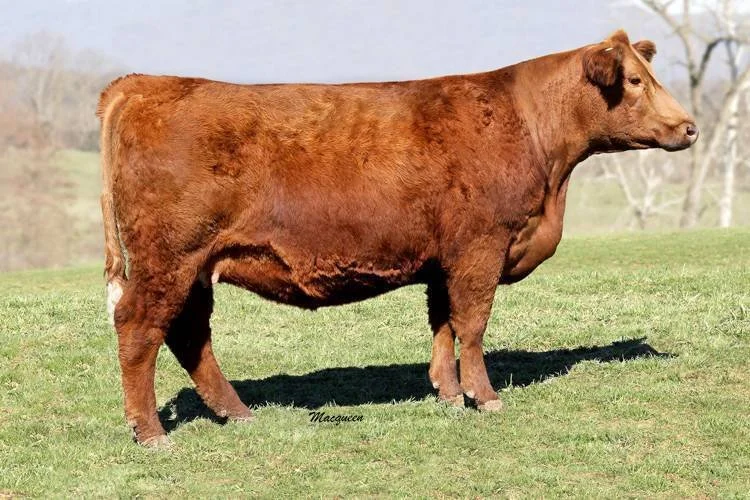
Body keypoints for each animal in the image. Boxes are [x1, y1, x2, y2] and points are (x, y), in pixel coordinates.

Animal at [98, 29, 697, 446]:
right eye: (635, 81)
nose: (689, 127)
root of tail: (147, 83)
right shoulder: (481, 247)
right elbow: (473, 324)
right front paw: (485, 397)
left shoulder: (444, 259)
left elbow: (444, 325)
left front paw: (448, 394)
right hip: (167, 258)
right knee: (139, 329)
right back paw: (150, 434)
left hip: (195, 267)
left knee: (190, 335)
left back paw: (238, 413)